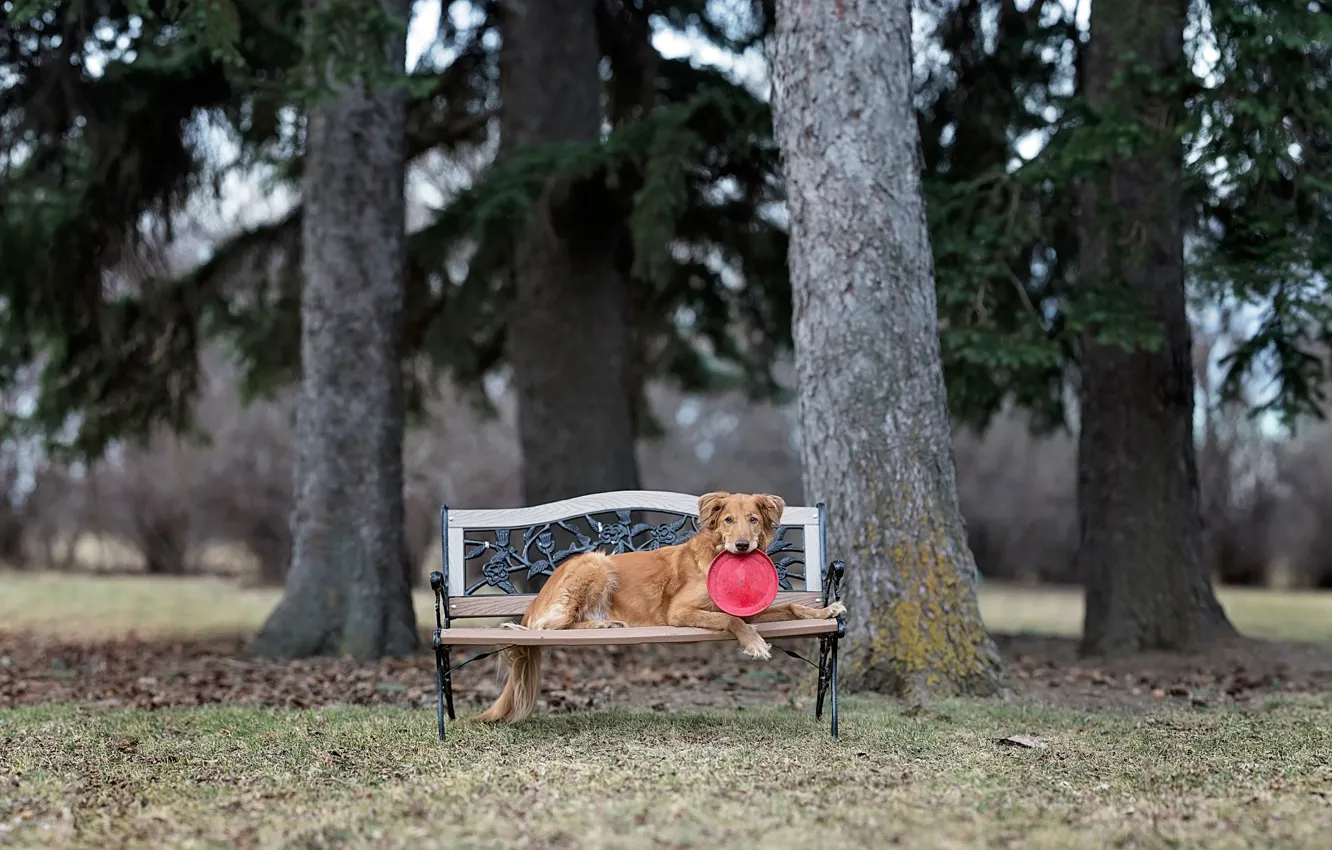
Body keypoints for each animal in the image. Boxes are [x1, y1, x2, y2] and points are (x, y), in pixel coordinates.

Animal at [474, 492, 841, 724]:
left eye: (752, 519)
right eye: (727, 520)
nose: (741, 546)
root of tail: (536, 599)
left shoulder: (754, 610)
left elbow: (790, 606)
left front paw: (824, 612)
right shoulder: (679, 612)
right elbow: (730, 619)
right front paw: (754, 643)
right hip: (596, 563)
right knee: (547, 627)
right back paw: (594, 626)